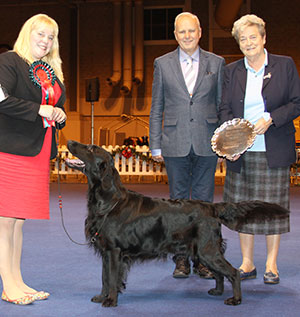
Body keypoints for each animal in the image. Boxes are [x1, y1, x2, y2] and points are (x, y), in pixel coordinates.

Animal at [65, 141, 288, 306]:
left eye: (90, 148)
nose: (70, 141)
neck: (108, 201)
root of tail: (212, 207)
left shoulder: (114, 251)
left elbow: (111, 279)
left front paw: (110, 301)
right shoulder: (106, 252)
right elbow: (104, 278)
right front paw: (101, 297)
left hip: (207, 250)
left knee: (233, 272)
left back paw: (236, 299)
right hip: (202, 251)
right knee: (220, 274)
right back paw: (217, 291)